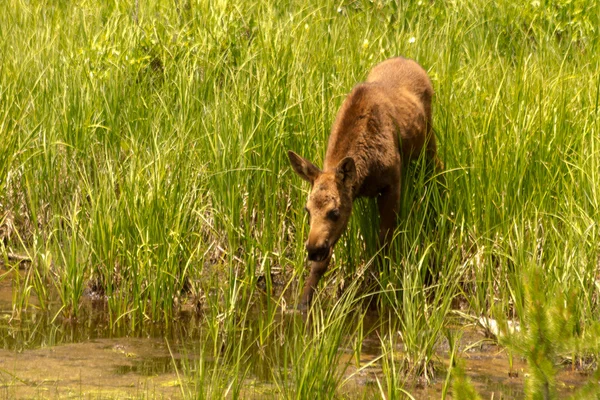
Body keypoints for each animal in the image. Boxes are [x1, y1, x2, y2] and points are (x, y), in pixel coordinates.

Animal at [288, 56, 442, 308]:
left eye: (334, 212)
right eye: (306, 210)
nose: (312, 249)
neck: (365, 174)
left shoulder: (392, 184)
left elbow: (383, 242)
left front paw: (375, 291)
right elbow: (323, 264)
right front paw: (302, 304)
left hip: (428, 142)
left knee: (438, 167)